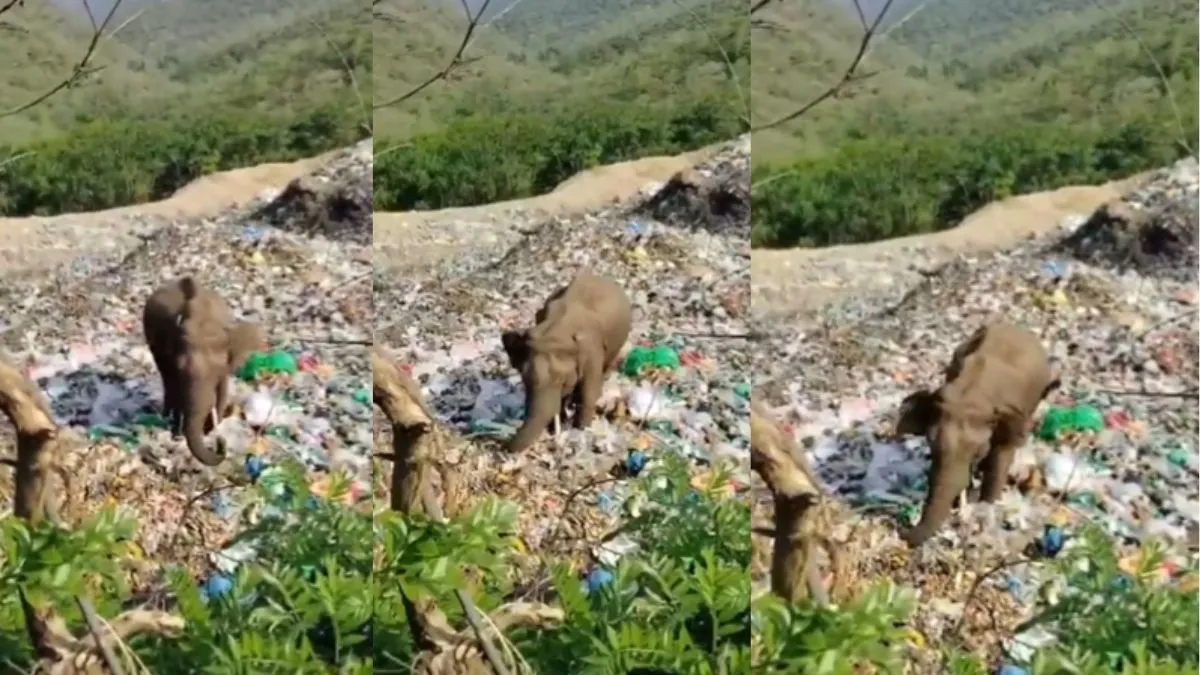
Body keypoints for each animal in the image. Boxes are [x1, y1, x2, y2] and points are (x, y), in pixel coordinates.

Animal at [143, 277, 266, 466]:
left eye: (217, 371)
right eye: (180, 368)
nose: (220, 442)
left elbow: (222, 390)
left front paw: (210, 430)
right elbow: (176, 388)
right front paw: (178, 433)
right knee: (166, 381)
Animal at [501, 273, 632, 453]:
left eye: (561, 381)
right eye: (524, 379)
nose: (503, 445)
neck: (554, 332)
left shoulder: (591, 350)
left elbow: (589, 392)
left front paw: (579, 429)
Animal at [896, 322, 1060, 547]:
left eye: (976, 452)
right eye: (931, 444)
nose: (901, 529)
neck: (973, 392)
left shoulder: (1014, 415)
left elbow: (1001, 457)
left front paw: (986, 510)